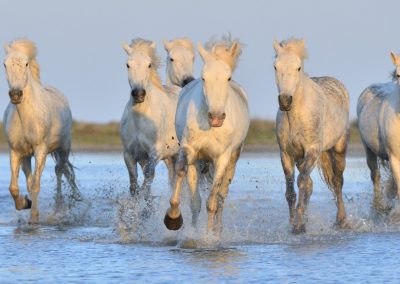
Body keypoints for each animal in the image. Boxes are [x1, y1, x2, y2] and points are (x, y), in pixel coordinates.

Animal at [3, 38, 81, 224]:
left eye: (25, 63)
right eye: (5, 64)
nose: (15, 94)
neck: (26, 118)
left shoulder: (40, 150)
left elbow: (36, 185)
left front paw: (33, 219)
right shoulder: (16, 152)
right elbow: (15, 187)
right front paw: (26, 203)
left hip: (63, 149)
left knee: (60, 171)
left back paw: (59, 207)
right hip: (27, 156)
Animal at [119, 38, 180, 196]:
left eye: (149, 64)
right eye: (128, 65)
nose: (139, 94)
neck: (140, 119)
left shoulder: (155, 152)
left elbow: (148, 179)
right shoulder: (130, 155)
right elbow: (134, 183)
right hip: (169, 157)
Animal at [164, 38, 248, 233]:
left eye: (228, 77)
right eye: (203, 78)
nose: (216, 118)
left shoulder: (222, 158)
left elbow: (213, 201)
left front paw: (208, 235)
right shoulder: (189, 149)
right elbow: (181, 173)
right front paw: (173, 218)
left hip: (233, 160)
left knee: (222, 195)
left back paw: (217, 229)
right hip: (198, 161)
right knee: (196, 201)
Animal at [274, 38, 348, 233]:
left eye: (298, 67)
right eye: (275, 66)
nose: (285, 100)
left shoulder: (312, 151)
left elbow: (301, 182)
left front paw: (299, 225)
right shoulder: (286, 154)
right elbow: (291, 191)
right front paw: (294, 222)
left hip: (338, 149)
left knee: (337, 182)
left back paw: (341, 220)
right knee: (310, 185)